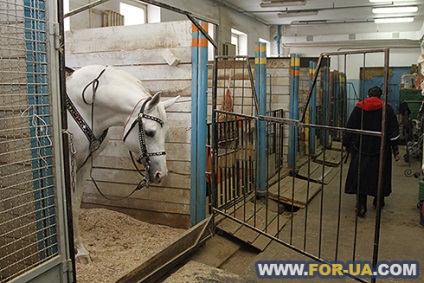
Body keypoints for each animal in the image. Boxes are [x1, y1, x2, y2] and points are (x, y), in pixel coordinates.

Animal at [66, 65, 179, 262]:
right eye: (149, 133)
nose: (161, 174)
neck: (83, 106)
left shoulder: (85, 164)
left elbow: (75, 205)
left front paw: (80, 249)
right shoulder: (71, 163)